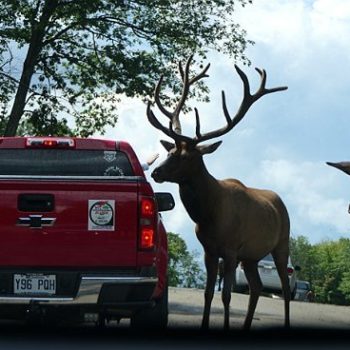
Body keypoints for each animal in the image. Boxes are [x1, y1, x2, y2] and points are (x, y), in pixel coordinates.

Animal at [146, 56, 288, 330]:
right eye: (170, 152)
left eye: (186, 156)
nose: (156, 172)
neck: (210, 215)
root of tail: (280, 201)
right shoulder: (209, 251)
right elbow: (208, 293)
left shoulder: (231, 250)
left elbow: (227, 295)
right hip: (251, 256)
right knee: (257, 287)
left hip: (282, 243)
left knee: (285, 288)